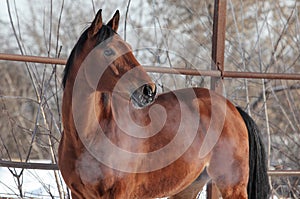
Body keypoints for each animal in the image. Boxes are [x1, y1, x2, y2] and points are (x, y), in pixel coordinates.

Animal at [58, 9, 270, 199]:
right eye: (108, 51)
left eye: (128, 47)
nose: (148, 90)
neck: (92, 133)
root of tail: (234, 109)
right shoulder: (78, 195)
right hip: (189, 187)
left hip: (232, 187)